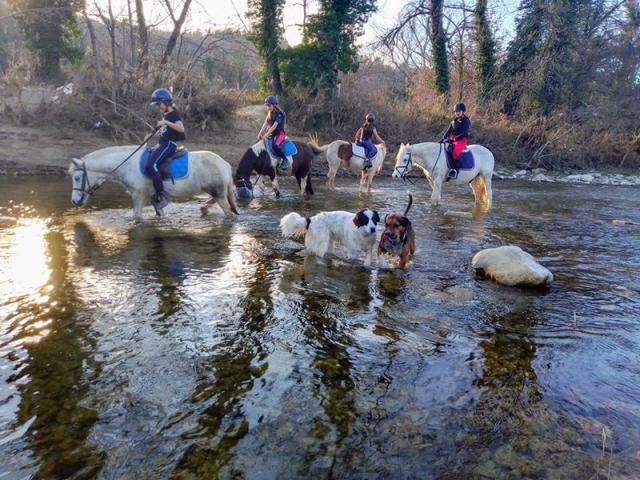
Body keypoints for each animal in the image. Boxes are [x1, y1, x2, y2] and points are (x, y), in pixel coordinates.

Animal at [69, 145, 240, 218]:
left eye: (77, 178)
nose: (75, 201)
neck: (127, 164)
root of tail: (224, 164)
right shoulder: (154, 197)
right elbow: (159, 210)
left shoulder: (138, 195)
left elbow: (137, 217)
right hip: (216, 191)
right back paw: (204, 208)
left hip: (218, 192)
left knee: (228, 211)